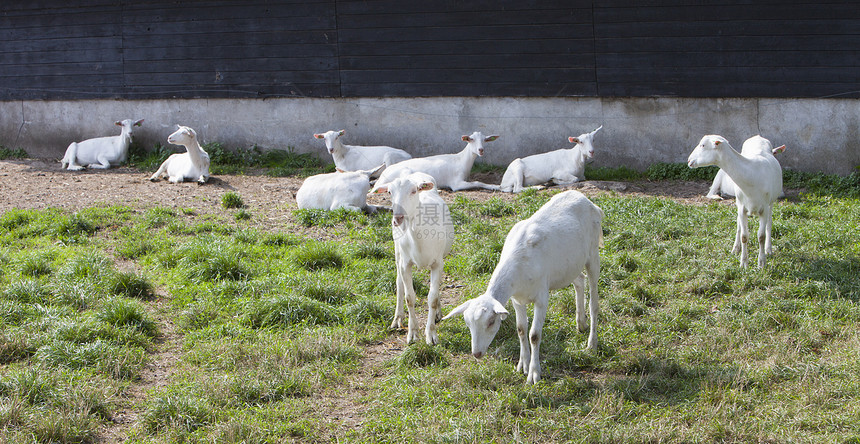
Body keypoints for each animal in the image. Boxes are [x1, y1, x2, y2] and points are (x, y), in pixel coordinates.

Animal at [372, 131, 504, 192]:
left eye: (485, 140)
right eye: (470, 139)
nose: (481, 150)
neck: (461, 160)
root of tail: (383, 175)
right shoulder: (456, 183)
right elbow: (477, 182)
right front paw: (497, 186)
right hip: (405, 172)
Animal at [376, 172, 456, 346]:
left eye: (414, 191)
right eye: (389, 192)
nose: (398, 218)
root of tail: (416, 173)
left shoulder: (437, 263)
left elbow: (432, 298)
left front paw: (431, 335)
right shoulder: (405, 263)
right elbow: (409, 298)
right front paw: (413, 333)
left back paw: (438, 313)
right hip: (397, 251)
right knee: (399, 282)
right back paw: (397, 319)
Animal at [444, 189, 604, 384]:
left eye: (491, 322)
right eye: (467, 323)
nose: (477, 353)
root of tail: (587, 200)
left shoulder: (542, 297)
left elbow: (534, 335)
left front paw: (534, 374)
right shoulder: (517, 300)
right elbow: (521, 329)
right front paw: (523, 365)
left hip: (593, 254)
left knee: (594, 302)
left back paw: (591, 344)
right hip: (570, 265)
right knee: (579, 280)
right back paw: (581, 323)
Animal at [688, 134, 784, 268]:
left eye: (703, 145)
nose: (689, 160)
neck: (752, 176)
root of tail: (758, 137)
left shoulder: (764, 208)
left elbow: (761, 236)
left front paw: (761, 263)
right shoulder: (742, 207)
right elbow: (744, 236)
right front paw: (743, 263)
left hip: (770, 203)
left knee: (769, 224)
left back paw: (768, 249)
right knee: (739, 225)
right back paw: (736, 248)